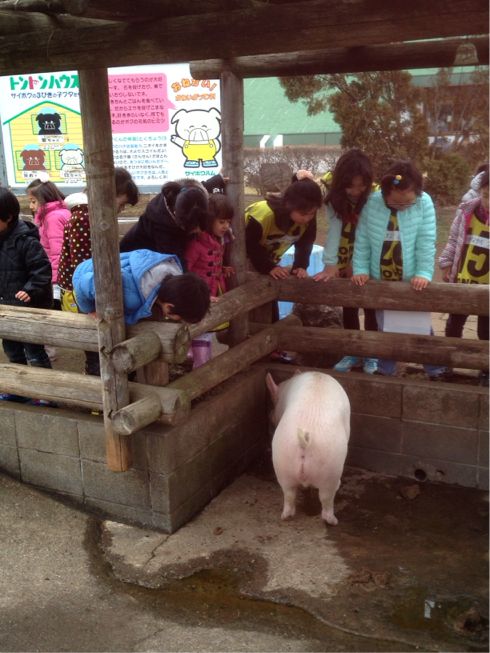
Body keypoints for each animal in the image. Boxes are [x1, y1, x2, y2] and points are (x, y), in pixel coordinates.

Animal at [266, 371, 350, 525]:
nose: (269, 415)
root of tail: (304, 441)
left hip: (282, 460)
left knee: (289, 494)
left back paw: (286, 516)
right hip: (331, 467)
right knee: (326, 498)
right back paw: (334, 521)